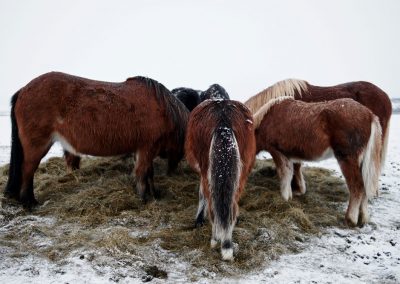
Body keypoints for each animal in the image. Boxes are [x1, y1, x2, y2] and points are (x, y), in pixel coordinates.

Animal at [4, 71, 189, 206]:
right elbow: (143, 173)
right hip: (37, 146)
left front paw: (154, 194)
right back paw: (29, 203)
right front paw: (144, 198)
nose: (172, 172)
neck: (164, 109)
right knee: (27, 171)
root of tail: (23, 90)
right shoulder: (147, 148)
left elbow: (149, 173)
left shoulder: (145, 150)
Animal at [185, 84, 256, 260]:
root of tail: (223, 123)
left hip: (207, 168)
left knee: (212, 201)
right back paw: (227, 244)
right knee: (231, 204)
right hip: (240, 172)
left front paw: (199, 219)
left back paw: (216, 240)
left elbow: (202, 194)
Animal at [253, 96, 382, 227]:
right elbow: (291, 173)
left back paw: (350, 219)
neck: (266, 119)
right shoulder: (289, 156)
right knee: (364, 186)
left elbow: (284, 174)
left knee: (357, 186)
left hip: (347, 159)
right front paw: (291, 195)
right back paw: (363, 218)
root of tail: (369, 115)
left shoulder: (277, 152)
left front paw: (284, 198)